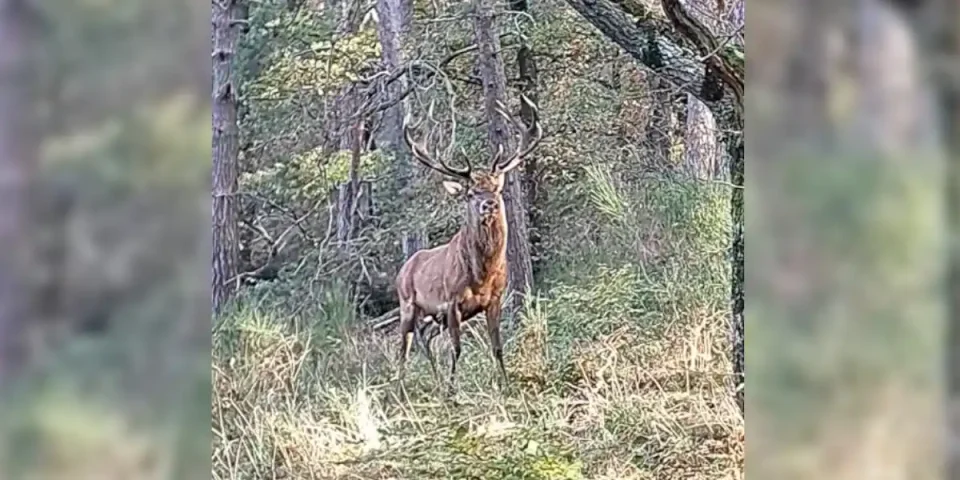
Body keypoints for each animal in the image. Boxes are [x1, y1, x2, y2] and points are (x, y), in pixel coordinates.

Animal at [395, 95, 543, 394]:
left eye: (496, 188)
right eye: (471, 193)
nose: (489, 204)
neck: (481, 275)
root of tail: (402, 269)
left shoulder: (495, 299)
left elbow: (497, 346)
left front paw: (506, 384)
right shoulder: (452, 302)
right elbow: (457, 348)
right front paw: (453, 391)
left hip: (431, 316)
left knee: (425, 338)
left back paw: (436, 381)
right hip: (407, 303)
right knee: (404, 345)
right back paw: (402, 389)